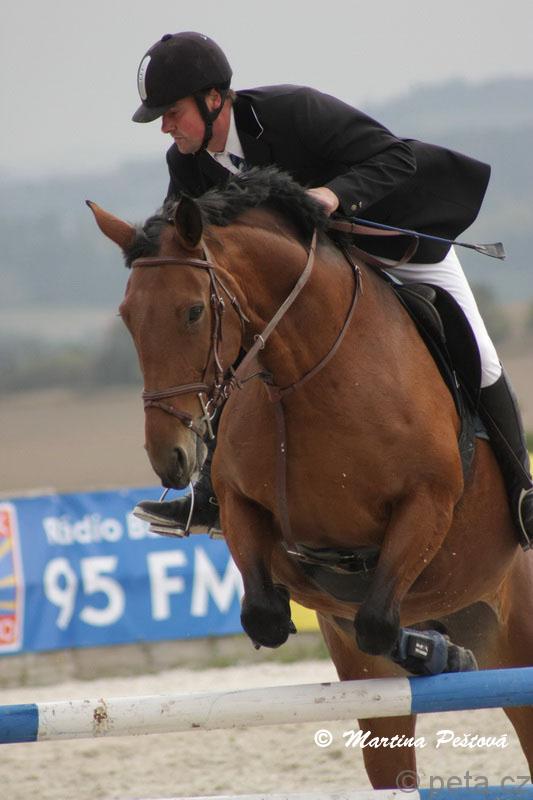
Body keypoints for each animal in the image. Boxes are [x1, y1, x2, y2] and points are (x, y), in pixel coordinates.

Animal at [88, 167, 533, 788]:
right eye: (128, 317)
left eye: (194, 311)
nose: (169, 457)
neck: (307, 370)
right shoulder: (243, 506)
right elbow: (270, 616)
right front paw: (429, 651)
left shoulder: (428, 503)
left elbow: (376, 617)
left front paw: (431, 652)